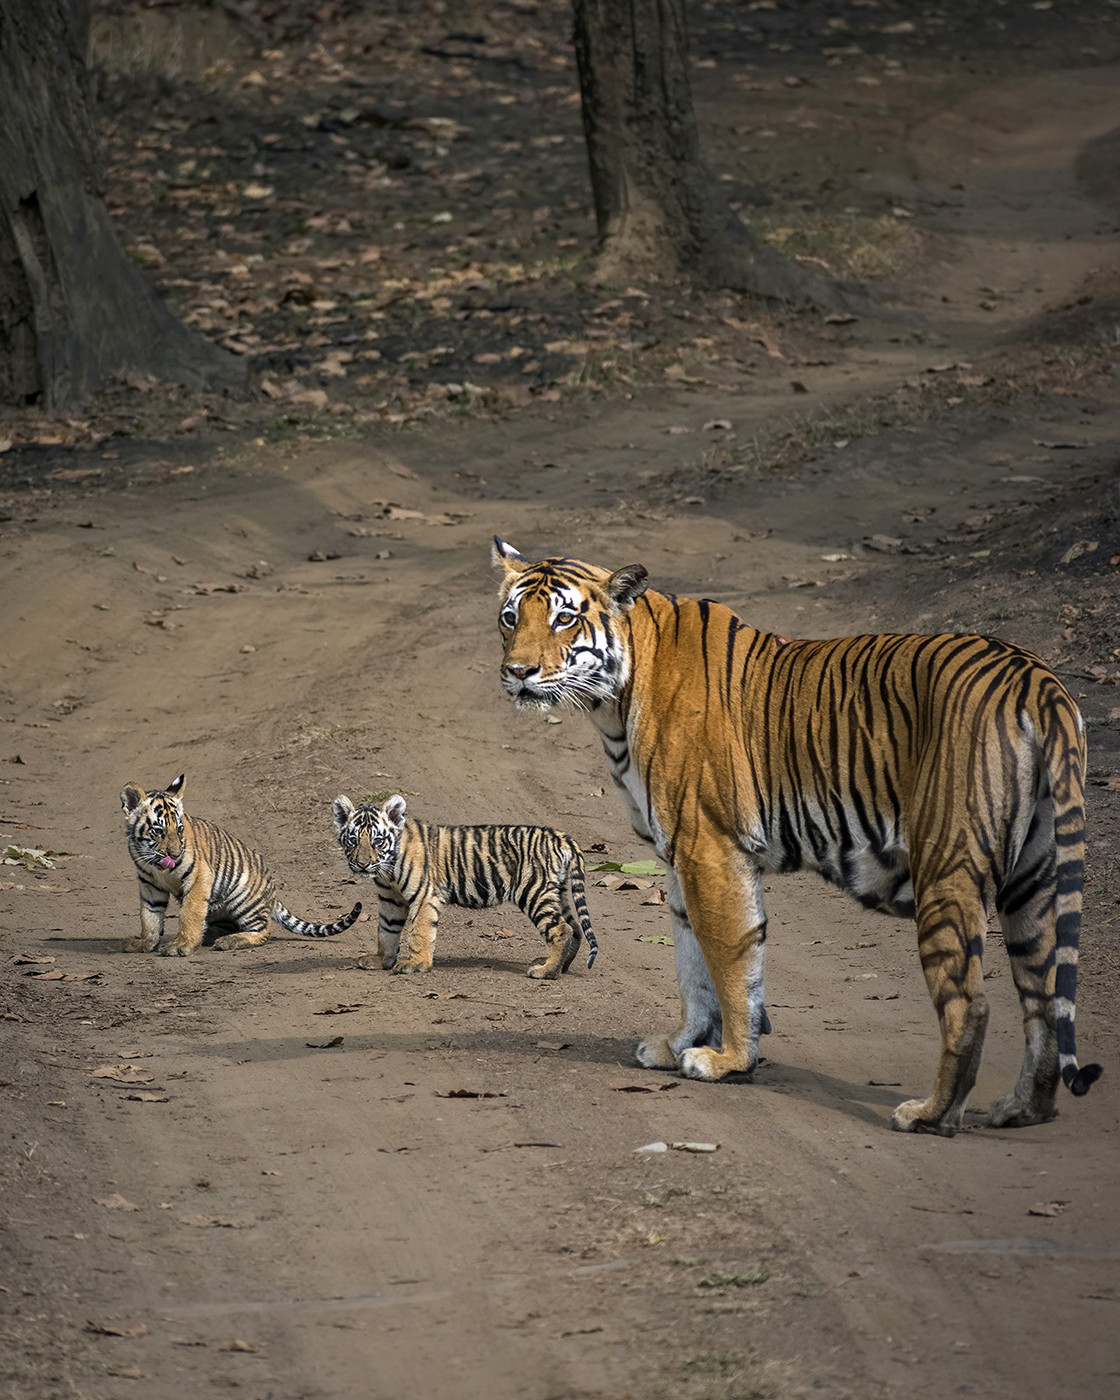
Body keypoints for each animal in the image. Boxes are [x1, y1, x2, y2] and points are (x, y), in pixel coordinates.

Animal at [121, 774, 361, 955]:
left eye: (179, 830)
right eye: (158, 831)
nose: (175, 853)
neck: (154, 863)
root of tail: (272, 895)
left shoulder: (199, 876)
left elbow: (190, 911)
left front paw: (182, 945)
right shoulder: (149, 883)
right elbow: (149, 915)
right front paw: (146, 942)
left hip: (242, 897)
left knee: (263, 930)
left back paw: (229, 941)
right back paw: (210, 935)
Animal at [331, 793, 598, 979]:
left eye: (377, 841)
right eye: (353, 840)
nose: (362, 864)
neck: (387, 870)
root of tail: (560, 836)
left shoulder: (424, 895)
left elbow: (419, 931)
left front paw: (414, 964)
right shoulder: (390, 899)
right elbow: (387, 930)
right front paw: (382, 960)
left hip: (534, 892)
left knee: (561, 929)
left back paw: (545, 972)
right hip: (557, 892)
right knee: (574, 927)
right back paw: (559, 967)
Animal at [491, 537, 1102, 1136]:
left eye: (565, 618)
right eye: (510, 617)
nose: (518, 671)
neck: (614, 702)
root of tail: (1035, 676)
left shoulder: (709, 848)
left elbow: (730, 962)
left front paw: (728, 1061)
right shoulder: (679, 857)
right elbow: (691, 964)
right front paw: (681, 1044)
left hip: (949, 866)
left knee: (971, 1003)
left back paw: (931, 1115)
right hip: (1034, 878)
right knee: (1044, 998)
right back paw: (1023, 1108)